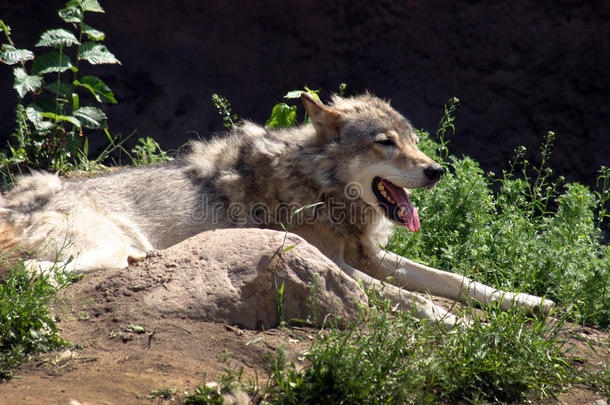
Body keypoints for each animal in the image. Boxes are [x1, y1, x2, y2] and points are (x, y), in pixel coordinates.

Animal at [0, 92, 552, 326]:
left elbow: (457, 280)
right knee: (36, 272)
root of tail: (15, 200)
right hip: (108, 247)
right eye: (385, 143)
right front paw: (463, 325)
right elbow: (415, 298)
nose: (438, 170)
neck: (317, 186)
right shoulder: (342, 263)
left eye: (413, 141)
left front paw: (528, 302)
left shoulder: (369, 257)